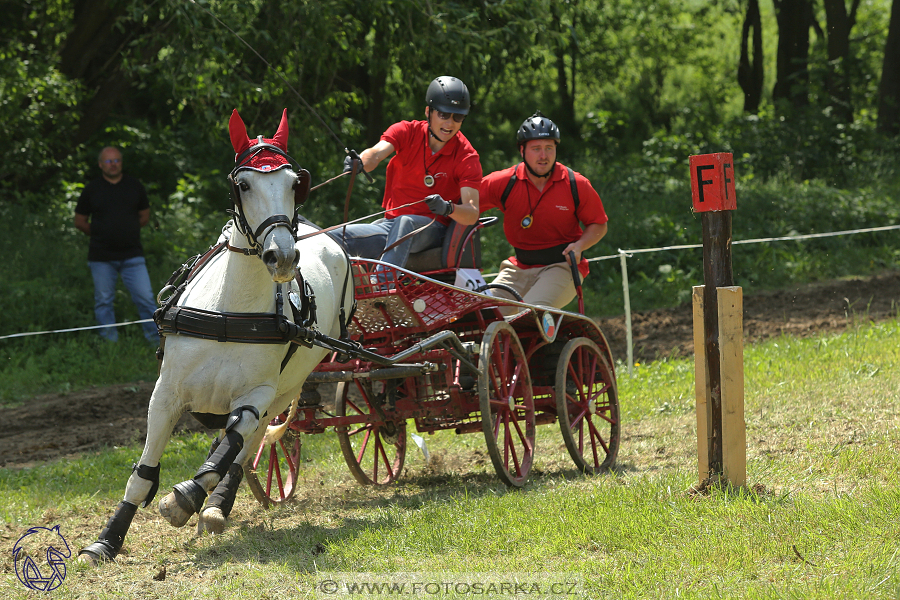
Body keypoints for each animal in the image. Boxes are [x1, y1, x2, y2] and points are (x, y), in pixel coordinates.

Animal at [78, 110, 352, 564]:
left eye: (294, 182)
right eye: (244, 184)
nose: (283, 257)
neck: (230, 310)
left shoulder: (258, 394)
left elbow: (236, 440)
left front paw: (187, 496)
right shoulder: (166, 393)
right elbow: (142, 475)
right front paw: (106, 541)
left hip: (286, 387)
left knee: (245, 446)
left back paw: (214, 504)